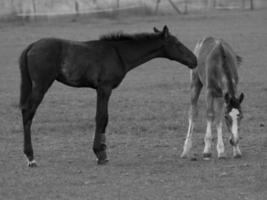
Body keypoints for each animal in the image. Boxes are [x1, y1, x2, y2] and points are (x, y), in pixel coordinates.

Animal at [19, 25, 199, 167]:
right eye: (177, 43)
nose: (194, 60)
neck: (118, 53)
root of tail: (32, 46)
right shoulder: (104, 88)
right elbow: (102, 117)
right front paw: (101, 154)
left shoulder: (101, 89)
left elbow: (103, 118)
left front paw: (101, 152)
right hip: (41, 85)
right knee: (28, 112)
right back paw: (31, 158)